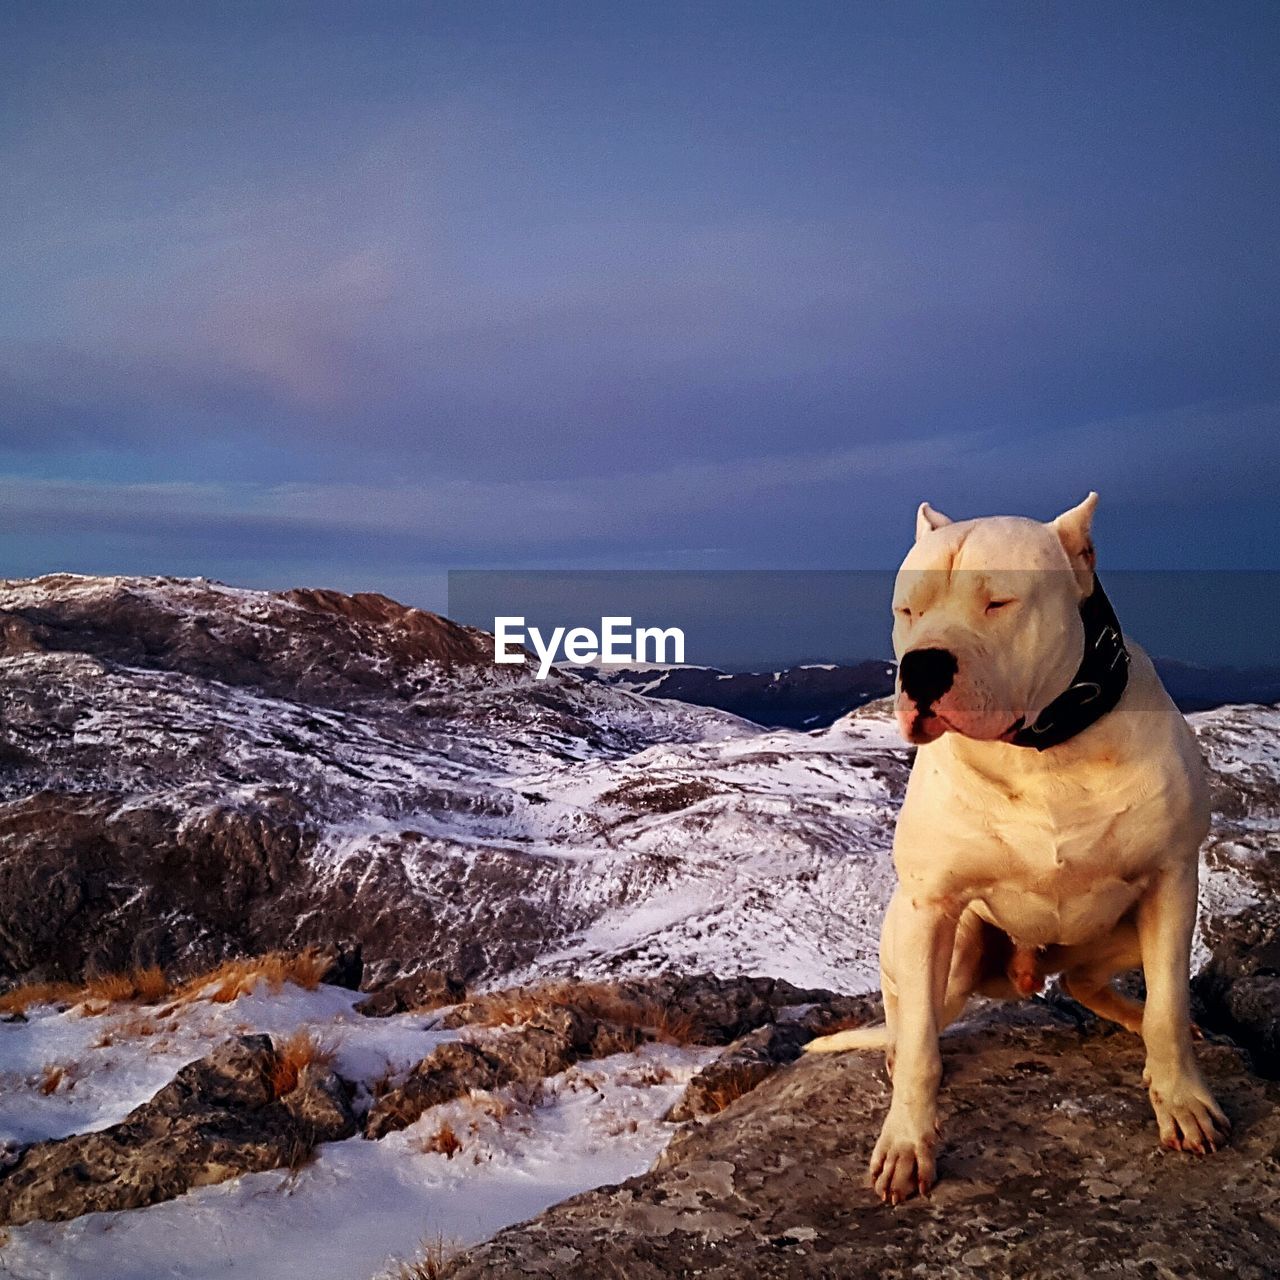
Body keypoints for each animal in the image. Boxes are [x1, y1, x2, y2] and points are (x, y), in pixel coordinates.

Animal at [808, 494, 1228, 1203]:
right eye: (907, 610)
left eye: (998, 602)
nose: (920, 666)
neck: (1043, 750)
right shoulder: (929, 908)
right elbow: (920, 1050)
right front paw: (906, 1142)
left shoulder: (1173, 881)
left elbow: (1170, 1007)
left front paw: (1181, 1098)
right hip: (948, 954)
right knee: (907, 1013)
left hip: (1125, 925)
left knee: (1089, 982)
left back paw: (1132, 1017)